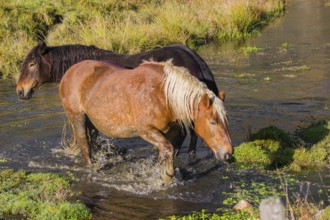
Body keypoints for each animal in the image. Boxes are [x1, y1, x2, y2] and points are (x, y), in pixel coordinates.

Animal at [60, 59, 235, 181]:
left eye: (226, 121)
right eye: (213, 122)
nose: (228, 154)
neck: (163, 95)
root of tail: (69, 72)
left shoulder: (171, 132)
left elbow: (169, 152)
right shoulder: (146, 131)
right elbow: (168, 150)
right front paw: (166, 177)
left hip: (92, 123)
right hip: (77, 118)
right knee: (85, 146)